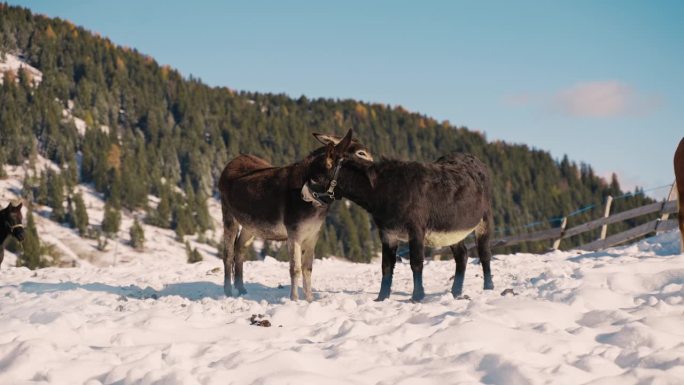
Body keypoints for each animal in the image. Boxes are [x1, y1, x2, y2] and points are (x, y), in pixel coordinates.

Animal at [219, 129, 372, 300]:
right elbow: (295, 269)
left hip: (250, 225)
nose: (376, 168)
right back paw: (227, 291)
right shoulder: (294, 235)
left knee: (240, 249)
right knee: (228, 253)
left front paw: (310, 299)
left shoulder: (313, 235)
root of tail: (233, 161)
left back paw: (241, 289)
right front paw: (294, 299)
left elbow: (308, 268)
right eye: (361, 153)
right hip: (229, 217)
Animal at [304, 130, 492, 302]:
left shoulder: (416, 229)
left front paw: (417, 297)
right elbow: (386, 266)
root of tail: (474, 159)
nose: (303, 194)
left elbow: (416, 262)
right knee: (462, 255)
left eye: (315, 178)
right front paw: (381, 298)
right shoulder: (388, 233)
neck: (383, 190)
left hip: (484, 220)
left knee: (484, 253)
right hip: (451, 229)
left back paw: (488, 288)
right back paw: (456, 293)